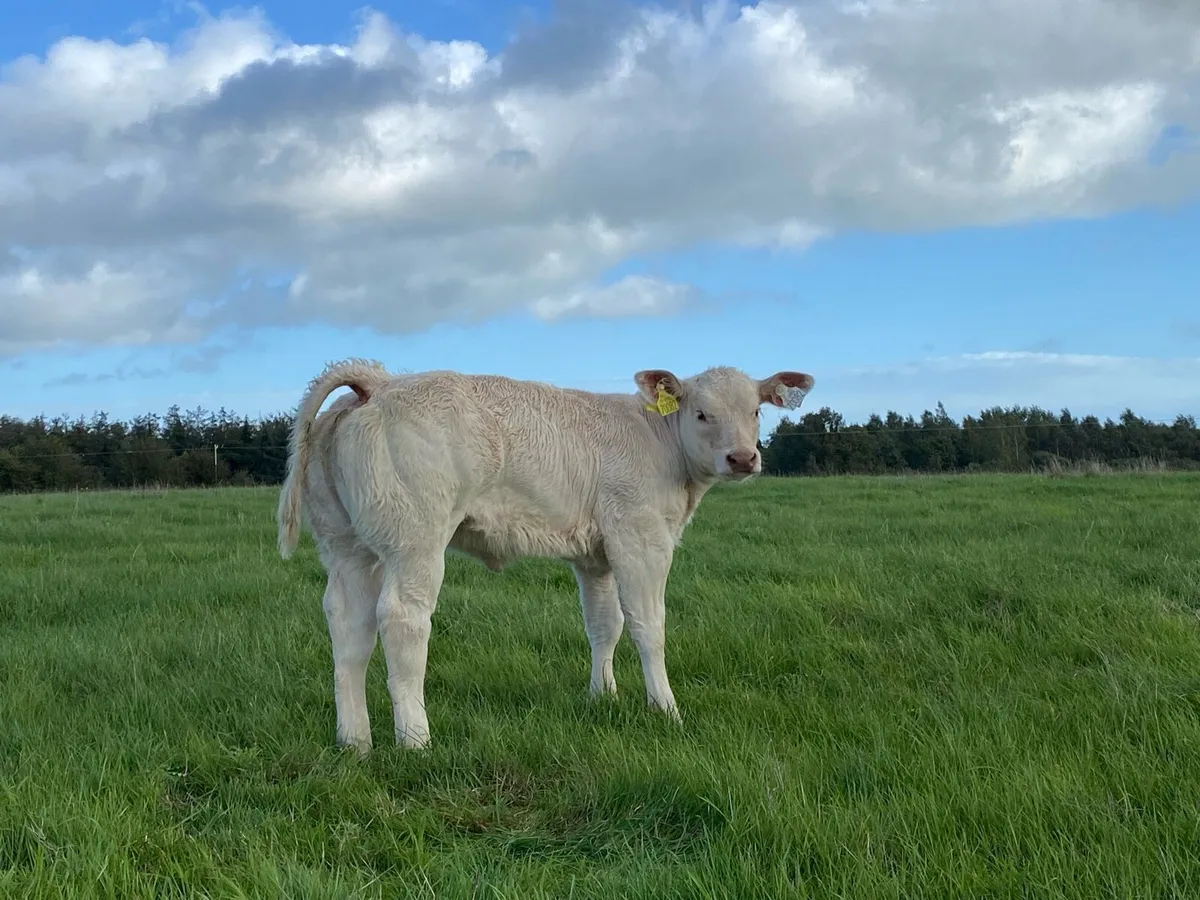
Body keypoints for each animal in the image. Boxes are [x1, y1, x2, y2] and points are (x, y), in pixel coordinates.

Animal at [276, 359, 814, 752]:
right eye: (701, 413)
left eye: (756, 412)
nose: (742, 458)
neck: (661, 444)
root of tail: (379, 382)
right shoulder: (640, 538)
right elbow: (648, 626)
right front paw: (665, 708)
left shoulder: (595, 557)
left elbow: (604, 625)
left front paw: (603, 696)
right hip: (416, 539)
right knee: (402, 620)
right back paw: (415, 741)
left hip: (347, 545)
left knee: (349, 627)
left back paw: (355, 743)